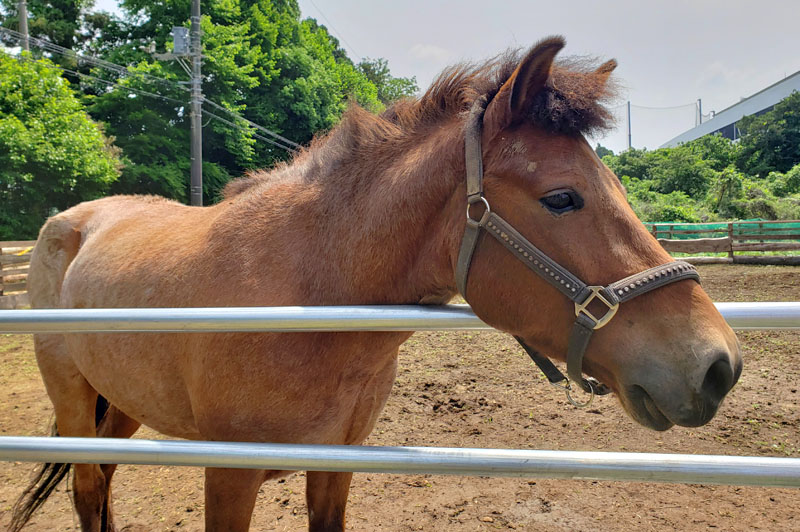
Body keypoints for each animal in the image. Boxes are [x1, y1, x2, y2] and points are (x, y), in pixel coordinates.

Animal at [12, 37, 741, 532]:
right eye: (562, 198)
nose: (718, 365)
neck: (304, 295)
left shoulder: (336, 467)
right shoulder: (230, 476)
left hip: (120, 401)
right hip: (75, 401)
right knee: (87, 490)